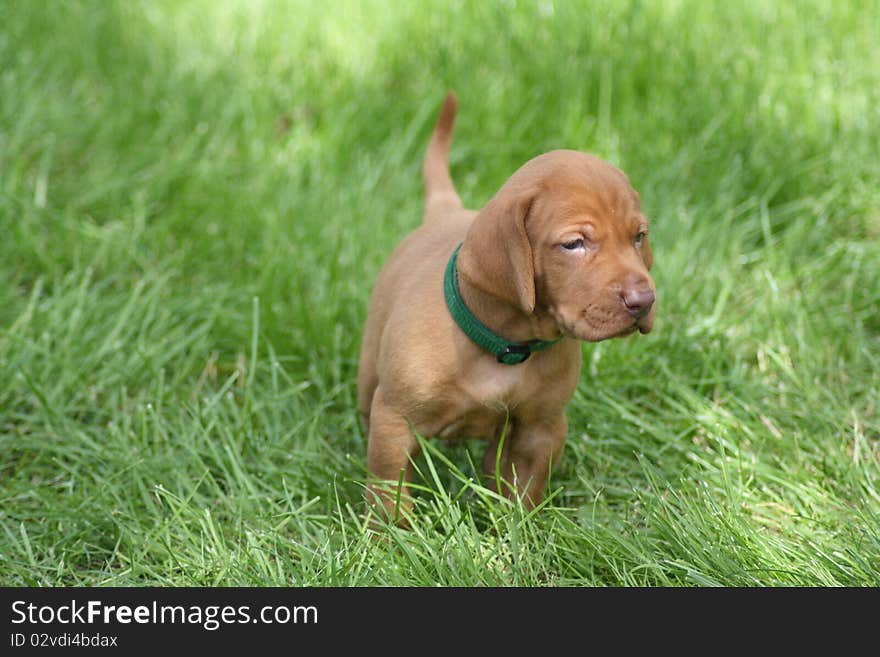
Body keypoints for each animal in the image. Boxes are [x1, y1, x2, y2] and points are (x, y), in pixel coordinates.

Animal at [356, 92, 652, 524]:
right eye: (573, 244)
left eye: (639, 237)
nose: (644, 301)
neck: (505, 345)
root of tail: (446, 211)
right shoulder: (395, 421)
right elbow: (388, 493)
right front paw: (389, 536)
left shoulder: (541, 428)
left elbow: (521, 494)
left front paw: (514, 533)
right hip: (369, 373)